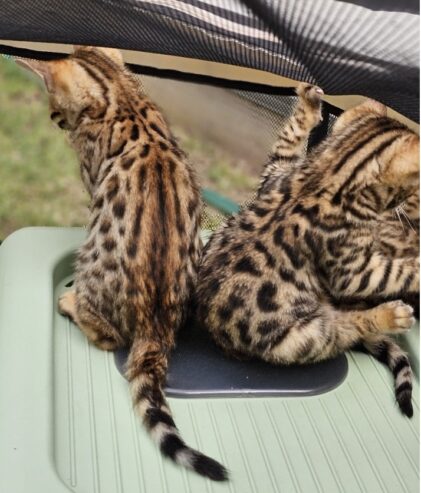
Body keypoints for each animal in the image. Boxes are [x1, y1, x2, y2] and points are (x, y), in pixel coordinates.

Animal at [17, 47, 226, 480]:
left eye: (54, 107)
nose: (55, 120)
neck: (120, 96)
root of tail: (156, 328)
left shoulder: (91, 179)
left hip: (92, 269)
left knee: (108, 337)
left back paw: (71, 305)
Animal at [195, 83, 418, 416]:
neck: (330, 173)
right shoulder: (352, 270)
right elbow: (399, 270)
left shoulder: (274, 174)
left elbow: (287, 142)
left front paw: (310, 106)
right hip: (303, 336)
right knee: (343, 332)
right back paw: (390, 315)